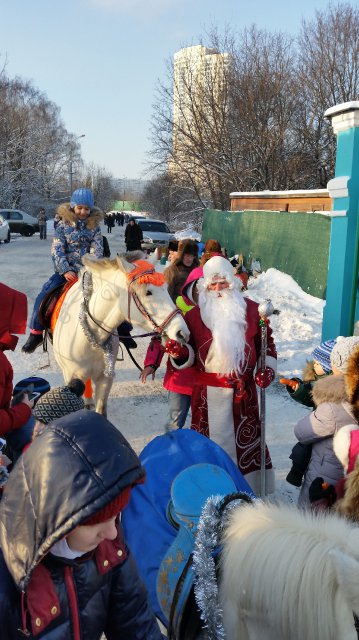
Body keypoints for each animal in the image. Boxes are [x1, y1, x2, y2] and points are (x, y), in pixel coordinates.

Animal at [53, 252, 190, 412]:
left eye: (166, 288)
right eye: (148, 292)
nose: (182, 332)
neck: (91, 338)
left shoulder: (106, 378)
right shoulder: (71, 378)